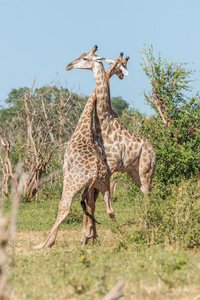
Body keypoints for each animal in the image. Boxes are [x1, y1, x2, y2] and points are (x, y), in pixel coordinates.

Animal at [32, 45, 126, 250]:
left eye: (84, 58)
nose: (68, 65)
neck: (83, 128)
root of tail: (97, 171)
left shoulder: (65, 169)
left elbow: (66, 207)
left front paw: (51, 241)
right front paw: (89, 236)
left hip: (72, 183)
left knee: (65, 207)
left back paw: (42, 244)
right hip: (103, 184)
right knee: (109, 209)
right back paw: (121, 235)